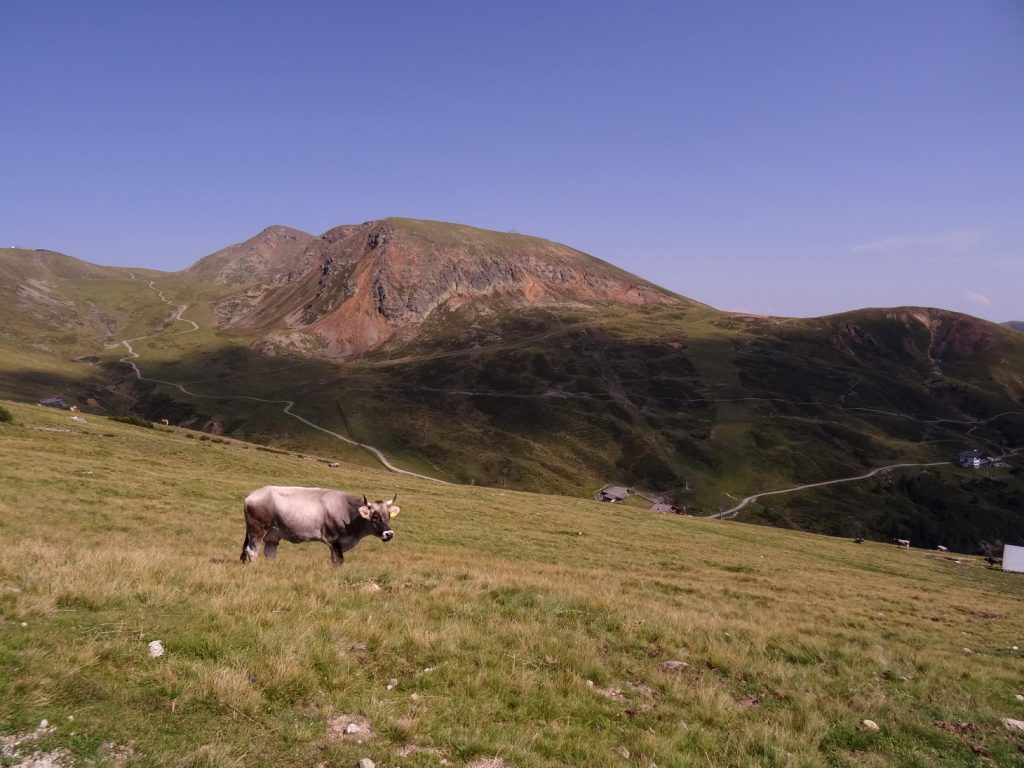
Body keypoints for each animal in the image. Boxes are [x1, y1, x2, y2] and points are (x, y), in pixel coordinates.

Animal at [239, 487, 399, 565]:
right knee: (252, 551)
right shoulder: (334, 540)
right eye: (375, 517)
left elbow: (333, 561)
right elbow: (339, 561)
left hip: (272, 535)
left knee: (270, 554)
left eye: (388, 516)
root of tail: (251, 495)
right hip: (257, 531)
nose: (389, 534)